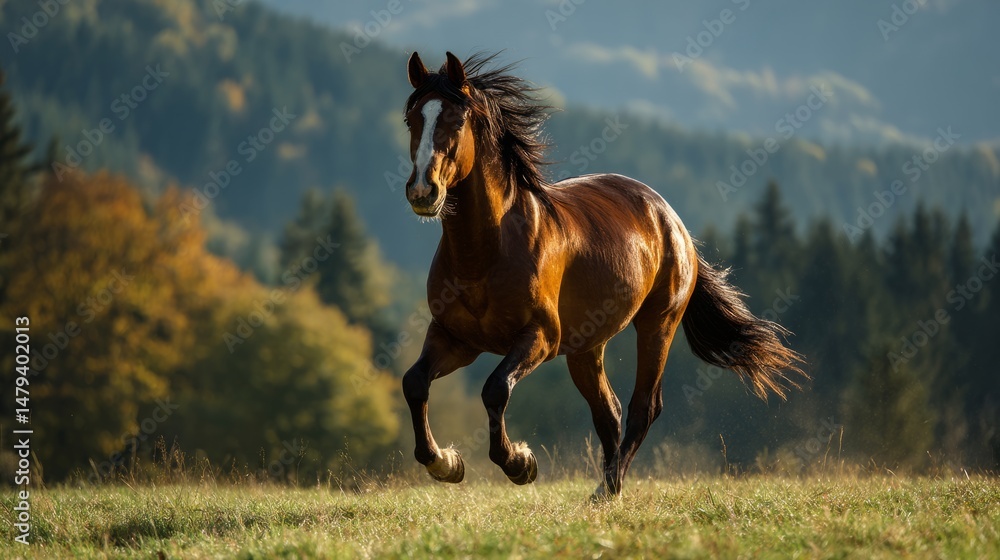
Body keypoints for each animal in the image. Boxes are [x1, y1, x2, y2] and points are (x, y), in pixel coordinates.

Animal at [399, 51, 805, 498]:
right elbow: (414, 382)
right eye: (411, 120)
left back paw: (607, 489)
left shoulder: (540, 337)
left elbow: (495, 388)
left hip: (657, 324)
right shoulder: (454, 337)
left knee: (643, 407)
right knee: (607, 411)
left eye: (456, 121)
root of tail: (671, 219)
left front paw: (520, 463)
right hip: (586, 346)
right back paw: (608, 485)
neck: (485, 253)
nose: (423, 192)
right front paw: (445, 463)